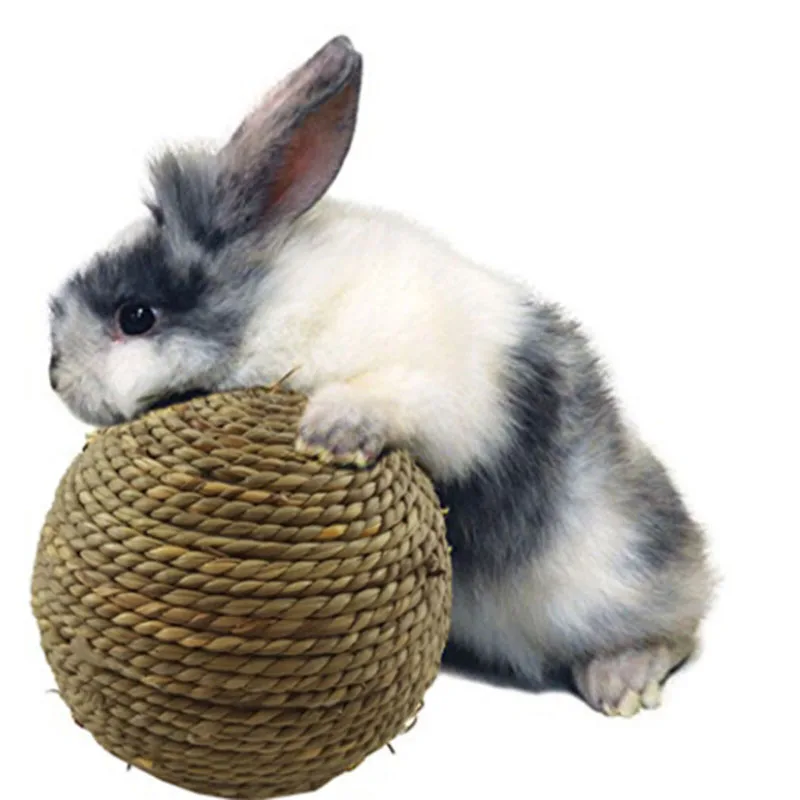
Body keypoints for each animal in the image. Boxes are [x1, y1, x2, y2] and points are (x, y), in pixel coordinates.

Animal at [48, 35, 713, 717]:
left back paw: (623, 682)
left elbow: (390, 398)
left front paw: (329, 434)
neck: (273, 302)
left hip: (614, 580)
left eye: (136, 316)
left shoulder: (439, 388)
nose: (54, 376)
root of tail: (691, 557)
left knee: (677, 630)